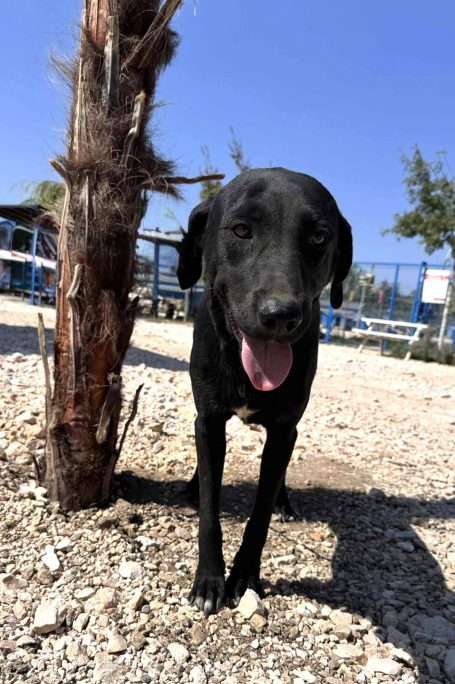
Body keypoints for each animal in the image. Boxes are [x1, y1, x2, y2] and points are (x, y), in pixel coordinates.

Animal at [177, 167, 352, 615]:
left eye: (319, 237)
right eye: (241, 229)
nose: (281, 315)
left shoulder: (284, 430)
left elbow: (259, 516)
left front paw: (243, 577)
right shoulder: (209, 420)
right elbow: (210, 510)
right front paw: (209, 581)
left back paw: (283, 501)